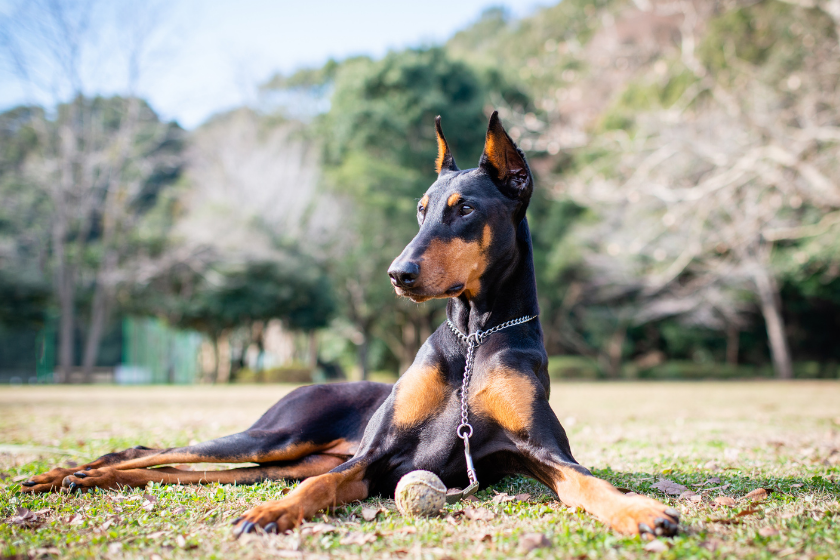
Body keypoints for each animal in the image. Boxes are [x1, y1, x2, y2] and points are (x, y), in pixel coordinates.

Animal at [23, 112, 680, 540]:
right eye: (420, 210)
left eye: (464, 209)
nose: (398, 273)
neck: (474, 339)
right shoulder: (374, 456)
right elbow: (311, 493)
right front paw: (271, 515)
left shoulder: (541, 450)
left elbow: (592, 484)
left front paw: (640, 511)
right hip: (284, 434)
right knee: (157, 451)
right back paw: (63, 473)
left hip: (296, 454)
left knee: (204, 472)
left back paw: (76, 478)